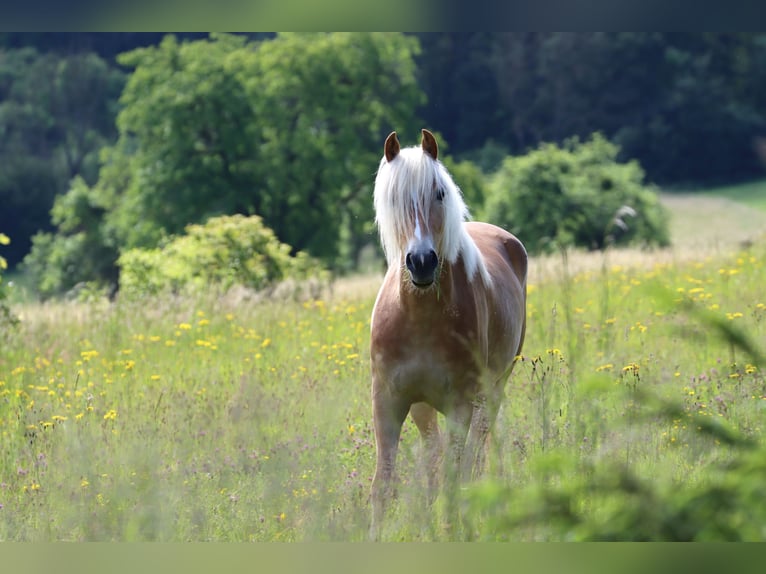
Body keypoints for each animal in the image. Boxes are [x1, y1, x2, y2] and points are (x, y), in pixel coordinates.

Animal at [370, 130, 528, 540]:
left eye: (439, 192)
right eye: (393, 197)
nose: (422, 262)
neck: (420, 317)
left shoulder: (461, 404)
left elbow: (456, 475)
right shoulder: (389, 401)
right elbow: (384, 483)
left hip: (492, 392)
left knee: (474, 456)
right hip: (424, 407)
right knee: (435, 456)